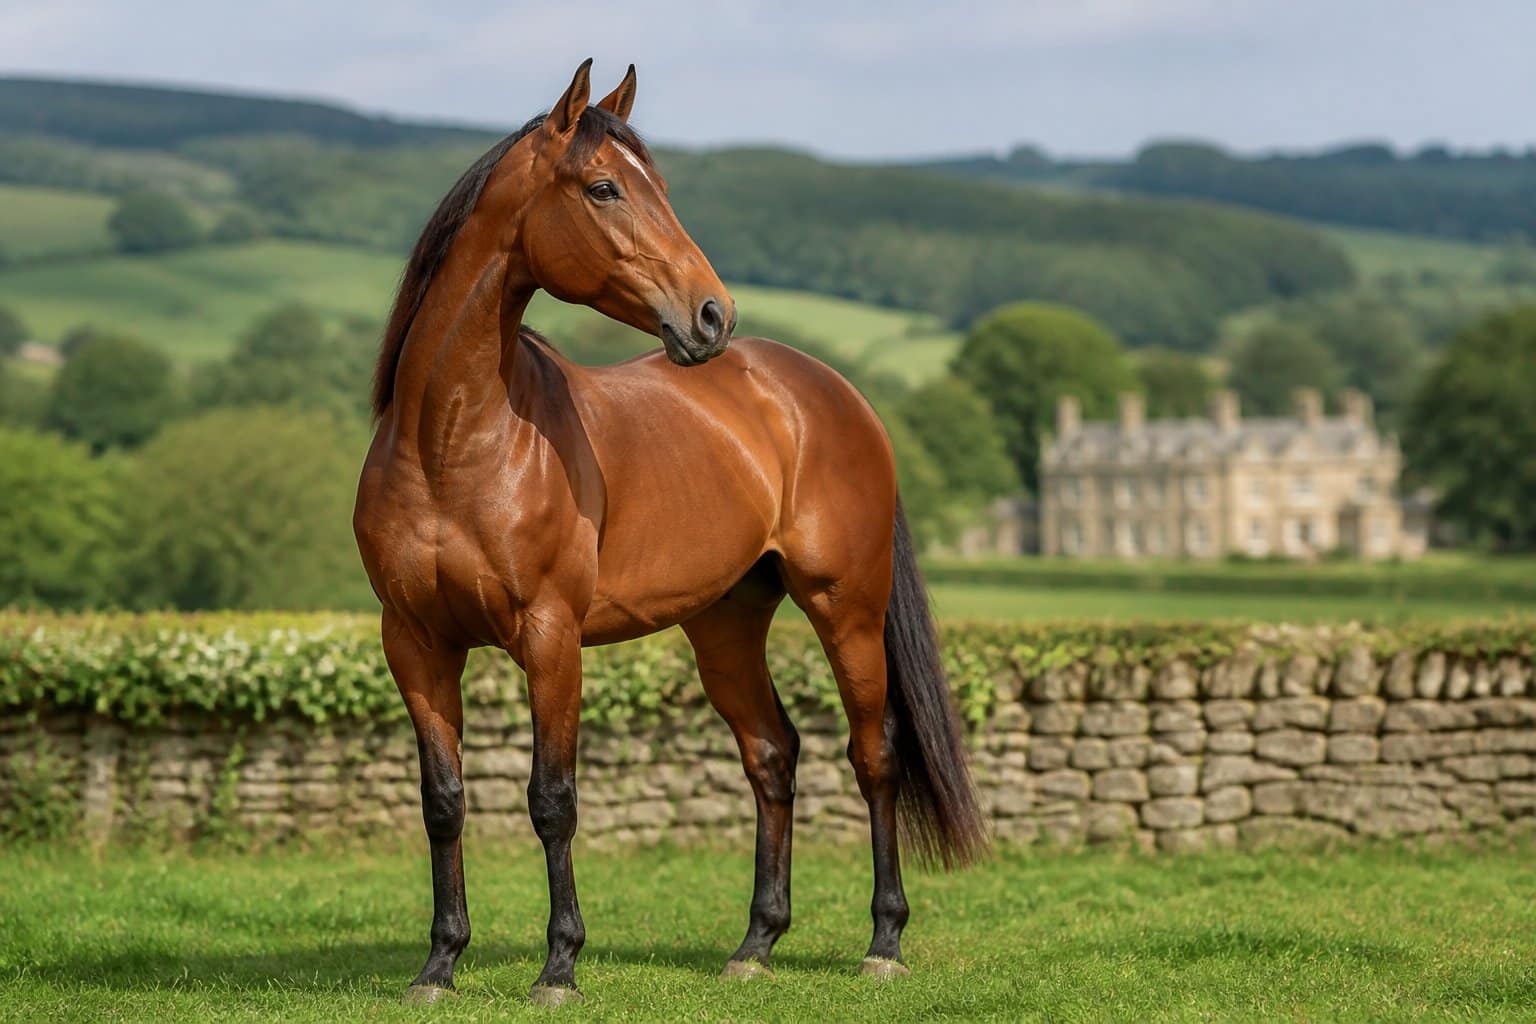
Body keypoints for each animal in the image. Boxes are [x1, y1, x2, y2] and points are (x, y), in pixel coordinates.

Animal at [353, 59, 987, 1006]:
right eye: (605, 187)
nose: (711, 315)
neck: (453, 444)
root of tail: (829, 390)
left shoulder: (551, 638)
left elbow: (552, 799)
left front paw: (560, 966)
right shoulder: (416, 642)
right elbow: (443, 799)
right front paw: (439, 964)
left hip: (846, 607)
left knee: (874, 754)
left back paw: (883, 942)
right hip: (724, 624)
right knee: (772, 755)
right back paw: (755, 945)